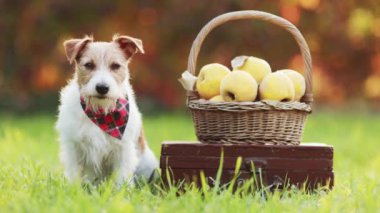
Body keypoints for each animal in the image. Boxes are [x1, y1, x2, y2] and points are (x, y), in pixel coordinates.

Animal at [55, 34, 158, 186]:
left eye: (115, 66)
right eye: (89, 65)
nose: (102, 88)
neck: (100, 112)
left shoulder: (123, 149)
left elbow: (121, 178)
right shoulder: (73, 147)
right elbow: (75, 174)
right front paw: (74, 189)